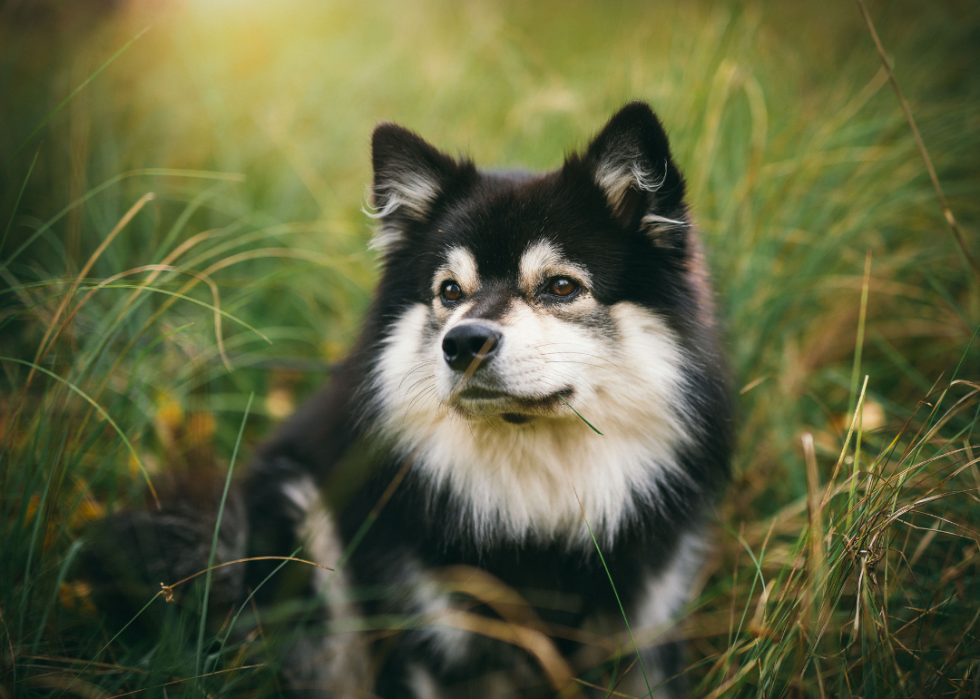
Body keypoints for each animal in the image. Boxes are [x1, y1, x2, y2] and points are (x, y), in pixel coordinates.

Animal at [92, 102, 732, 699]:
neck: (535, 505)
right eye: (449, 291)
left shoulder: (645, 632)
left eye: (560, 286)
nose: (464, 343)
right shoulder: (424, 636)